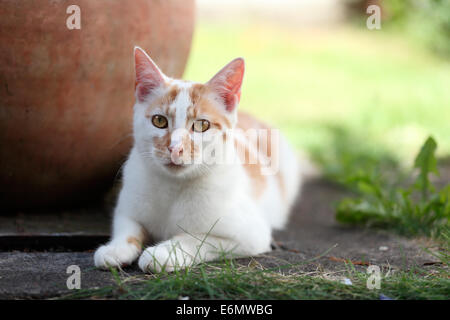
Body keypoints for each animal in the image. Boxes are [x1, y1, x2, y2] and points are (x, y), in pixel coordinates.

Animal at [94, 47, 302, 272]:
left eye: (202, 125)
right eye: (159, 121)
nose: (175, 148)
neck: (173, 187)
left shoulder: (252, 235)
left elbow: (197, 238)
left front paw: (164, 253)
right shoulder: (127, 206)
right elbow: (127, 227)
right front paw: (115, 249)